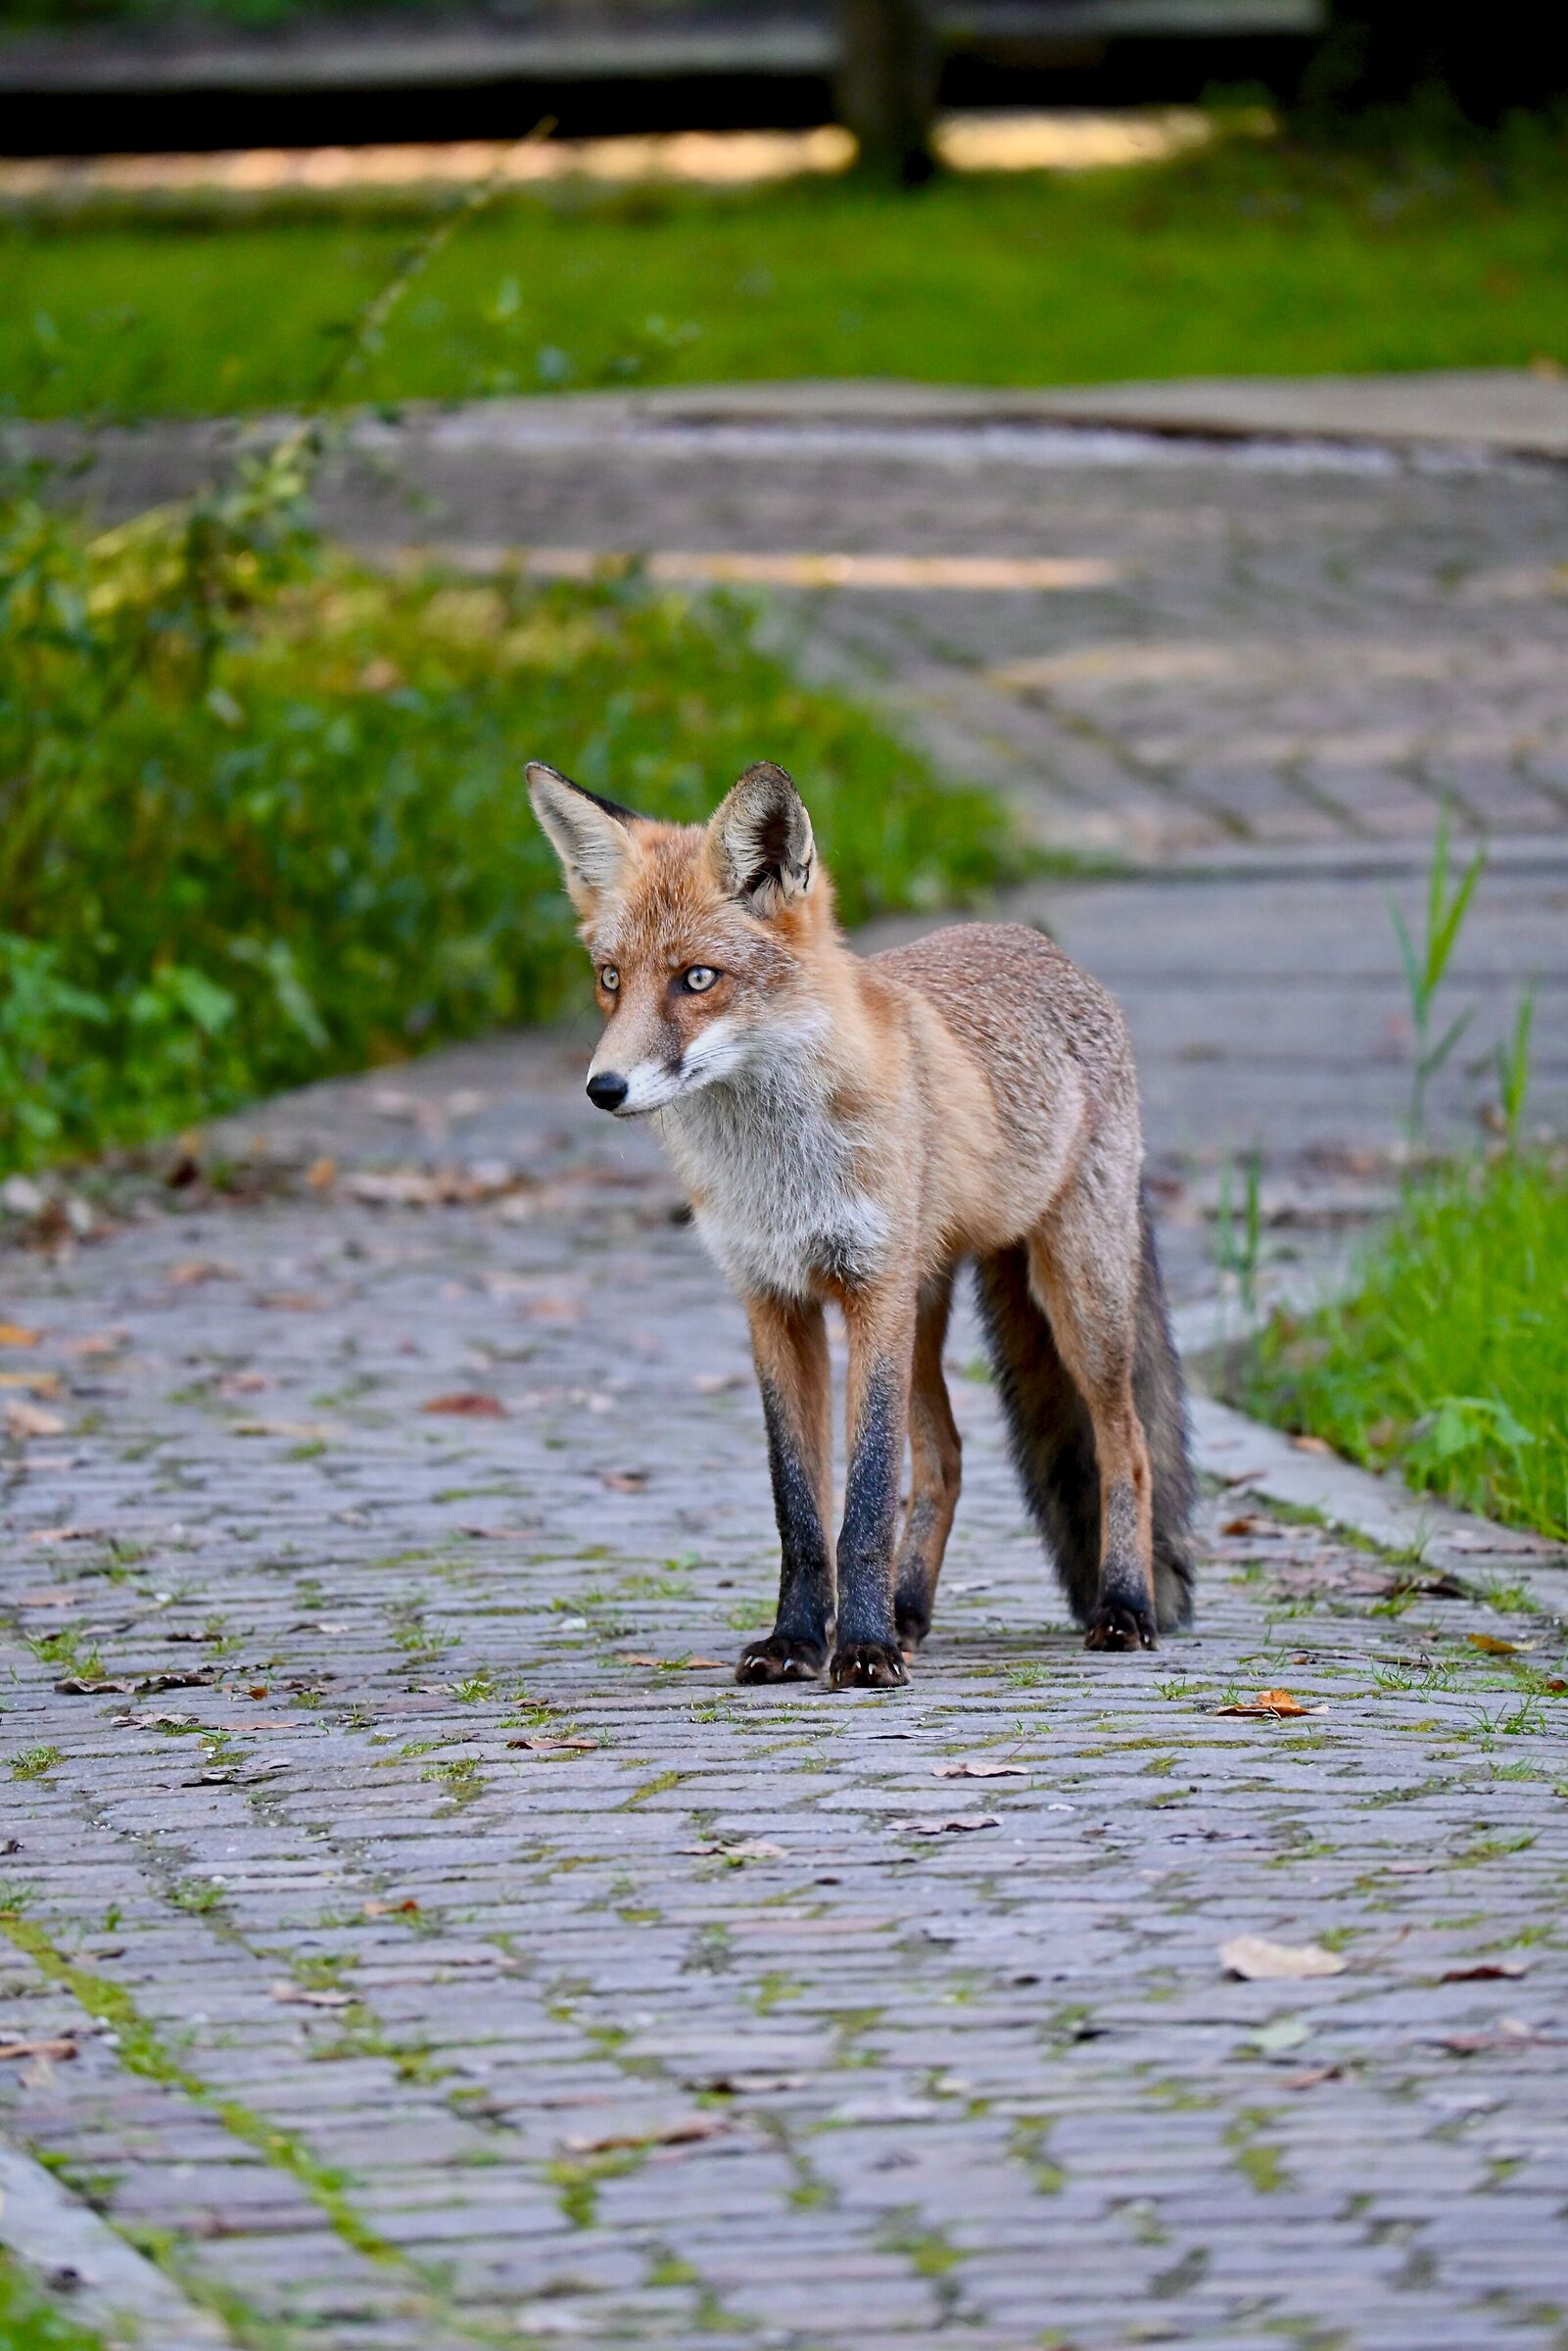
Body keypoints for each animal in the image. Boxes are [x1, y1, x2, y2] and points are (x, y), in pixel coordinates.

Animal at [528, 757, 1195, 1690]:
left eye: (697, 978)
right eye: (610, 978)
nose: (604, 1088)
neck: (777, 1168)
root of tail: (1043, 947)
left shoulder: (870, 1290)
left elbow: (869, 1492)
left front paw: (864, 1648)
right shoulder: (773, 1301)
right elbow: (803, 1509)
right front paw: (799, 1641)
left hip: (1073, 1296)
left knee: (1122, 1444)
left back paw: (1123, 1608)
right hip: (929, 1308)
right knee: (946, 1458)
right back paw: (911, 1613)